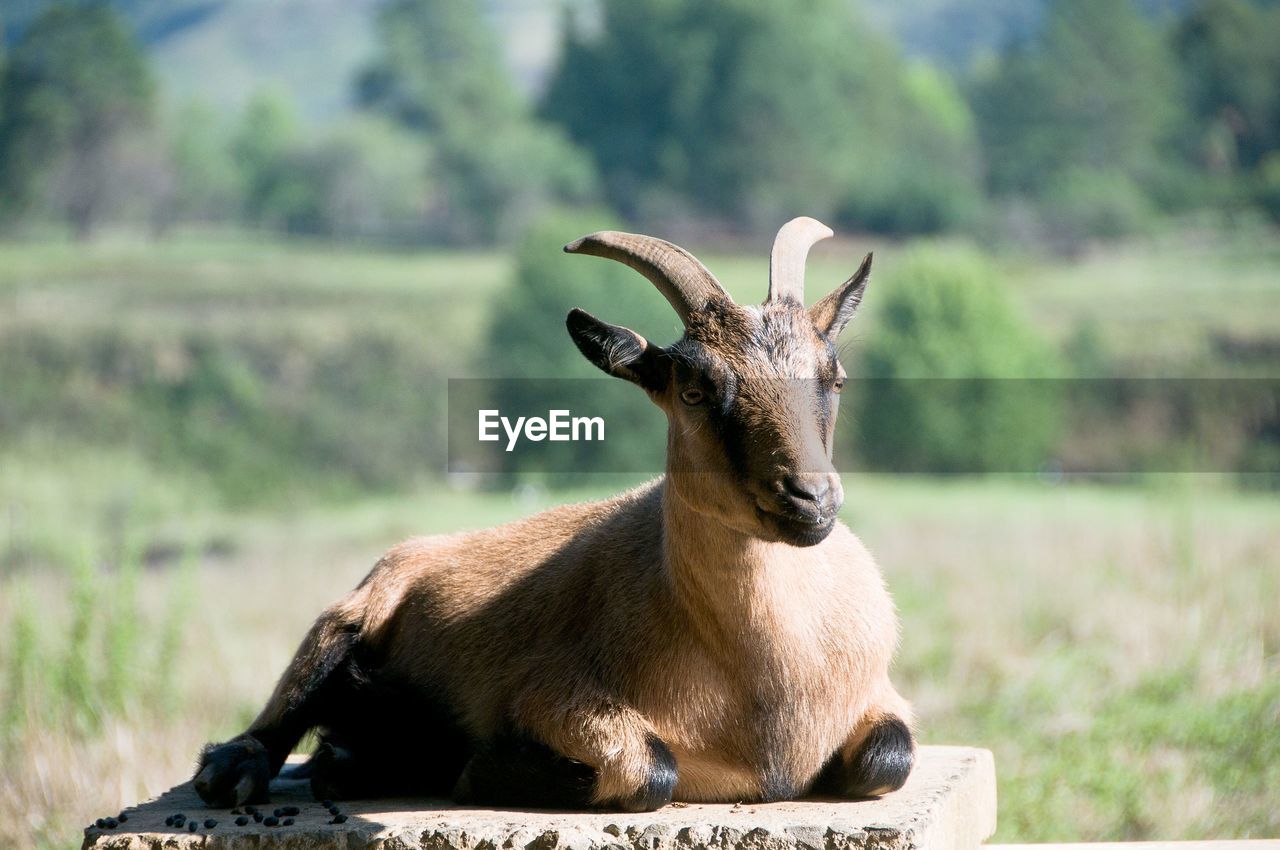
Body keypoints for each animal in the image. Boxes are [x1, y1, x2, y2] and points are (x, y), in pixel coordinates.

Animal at [189, 217, 916, 809]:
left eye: (835, 378)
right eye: (694, 389)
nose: (810, 499)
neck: (767, 692)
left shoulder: (881, 699)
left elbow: (890, 759)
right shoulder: (556, 696)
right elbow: (652, 770)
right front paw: (476, 767)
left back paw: (350, 762)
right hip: (344, 624)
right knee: (282, 712)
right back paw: (245, 769)